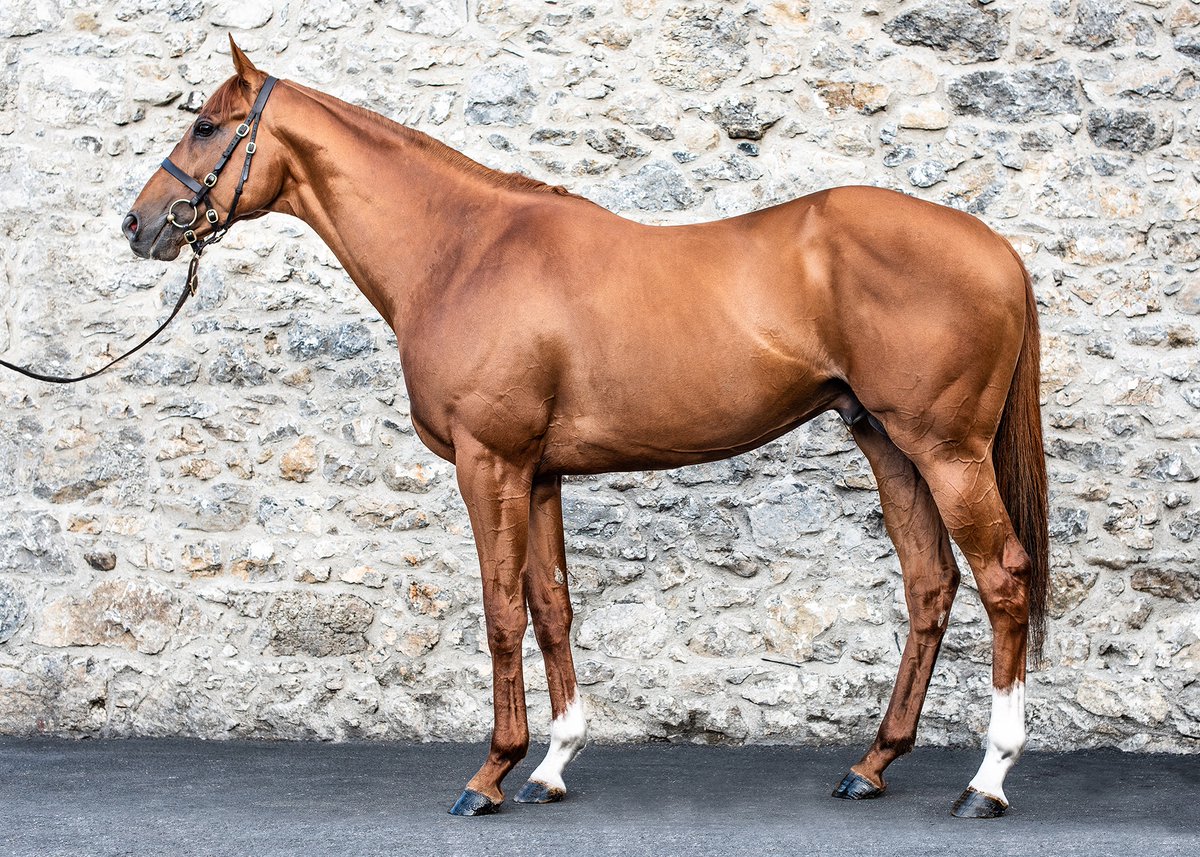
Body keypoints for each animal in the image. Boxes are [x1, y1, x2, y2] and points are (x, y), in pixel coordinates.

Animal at [119, 43, 1041, 816]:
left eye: (207, 125)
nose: (139, 223)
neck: (462, 251)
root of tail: (997, 248)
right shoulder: (539, 472)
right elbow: (551, 603)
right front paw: (552, 764)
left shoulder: (488, 463)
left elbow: (500, 610)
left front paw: (490, 772)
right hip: (889, 444)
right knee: (931, 586)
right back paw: (872, 764)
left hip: (948, 452)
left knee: (1003, 579)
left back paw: (987, 779)